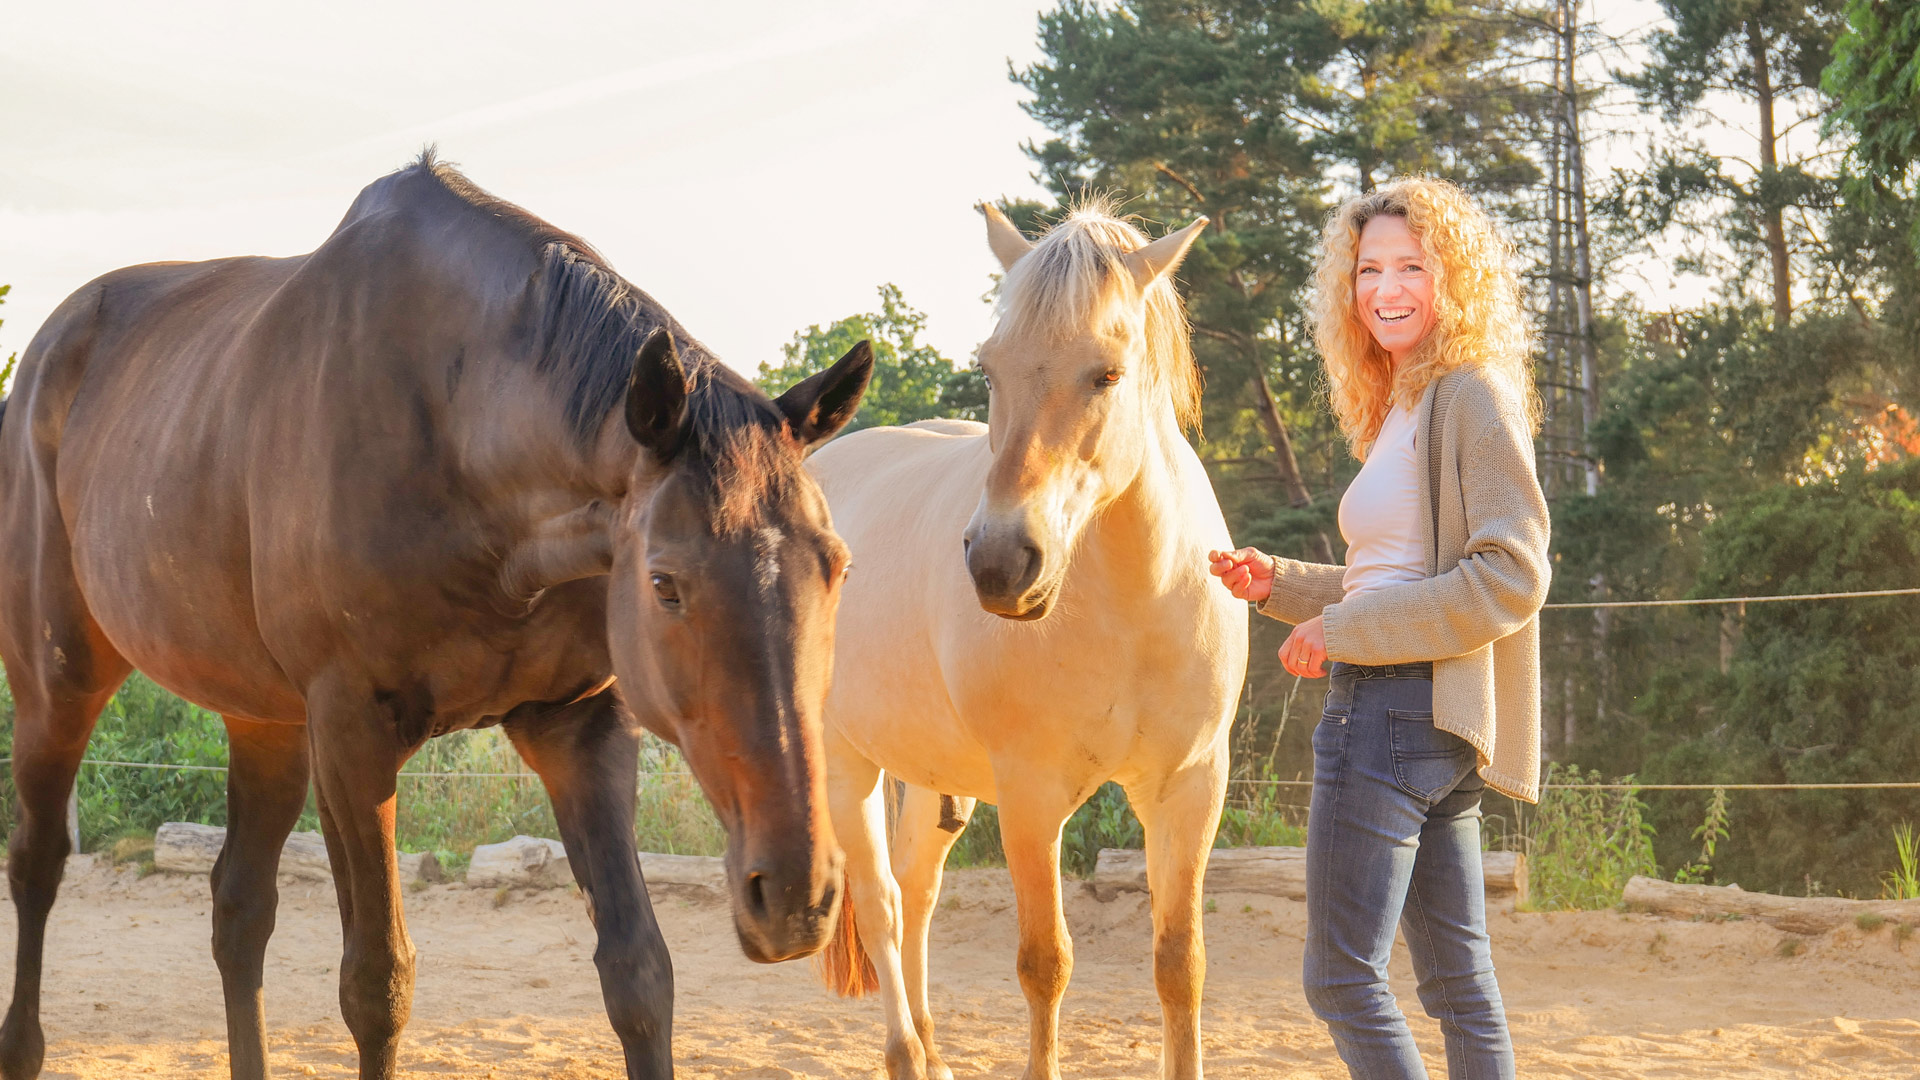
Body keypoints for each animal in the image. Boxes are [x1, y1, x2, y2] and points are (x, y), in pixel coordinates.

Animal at [0, 153, 864, 1076]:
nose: (798, 897)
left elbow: (639, 974)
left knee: (238, 907)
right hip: (59, 685)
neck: (453, 435)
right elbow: (377, 985)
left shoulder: (578, 726)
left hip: (263, 720)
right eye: (665, 583)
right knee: (38, 863)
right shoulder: (353, 736)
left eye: (837, 567)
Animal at [806, 203, 1244, 1076]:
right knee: (880, 905)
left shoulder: (1189, 788)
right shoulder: (1032, 796)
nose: (1001, 563)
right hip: (848, 766)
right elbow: (1045, 964)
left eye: (1106, 374)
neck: (1132, 609)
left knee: (916, 894)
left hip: (933, 783)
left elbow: (1180, 963)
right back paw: (906, 1054)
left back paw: (933, 1054)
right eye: (990, 367)